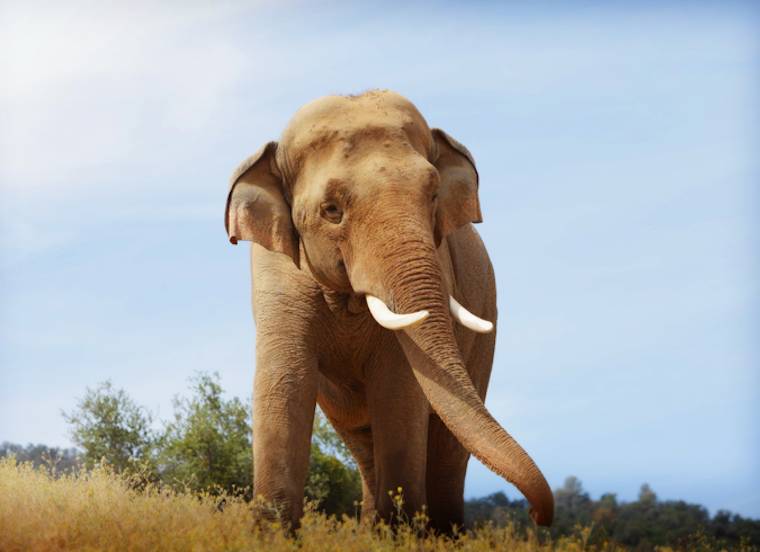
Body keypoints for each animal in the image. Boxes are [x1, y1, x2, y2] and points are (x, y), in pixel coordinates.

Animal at [224, 90, 553, 532]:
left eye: (432, 196)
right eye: (331, 210)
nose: (538, 516)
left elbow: (399, 387)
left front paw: (398, 531)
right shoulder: (276, 276)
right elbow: (285, 380)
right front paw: (272, 532)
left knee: (447, 450)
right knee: (363, 442)